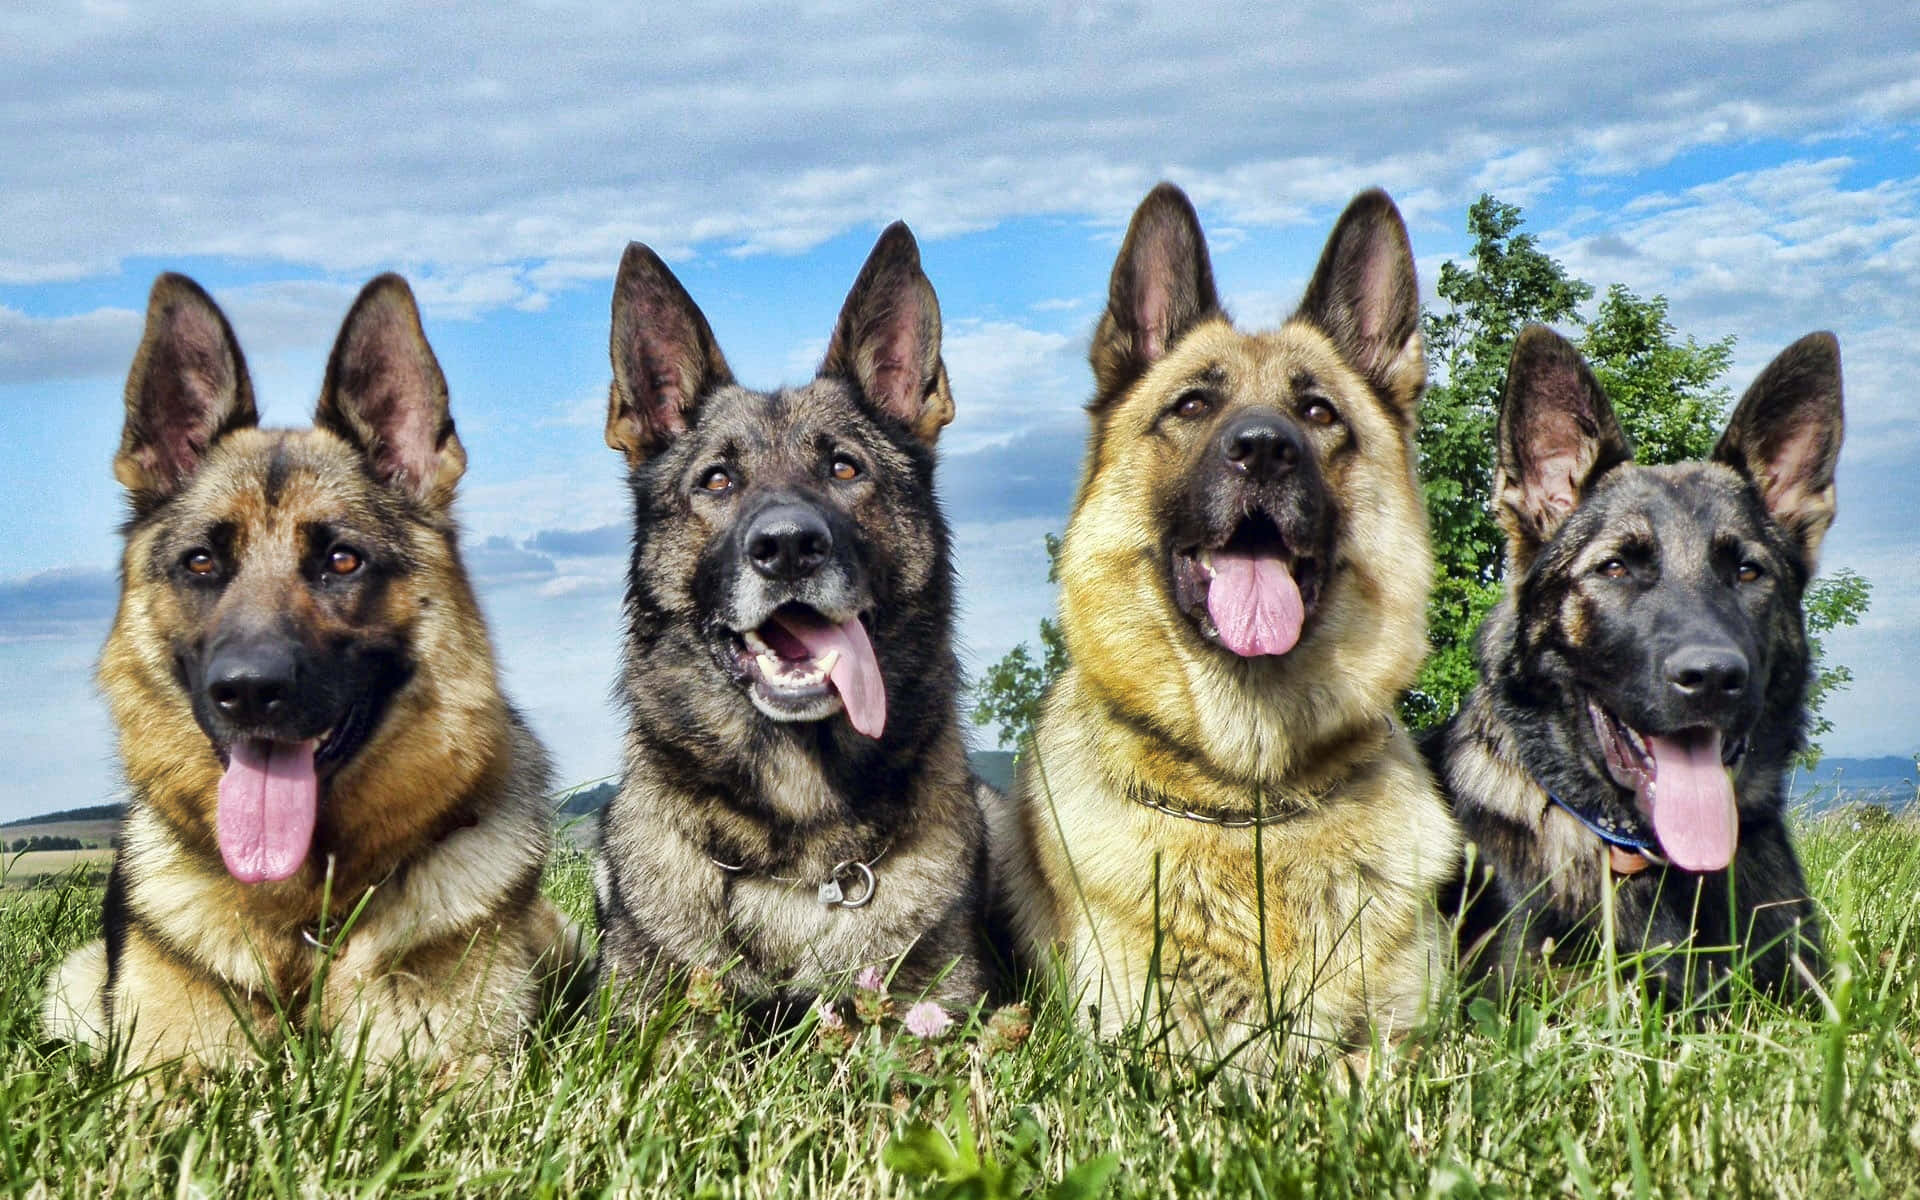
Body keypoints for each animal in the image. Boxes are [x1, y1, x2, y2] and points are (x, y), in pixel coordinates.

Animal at [43, 274, 576, 1075]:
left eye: (341, 561)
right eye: (203, 561)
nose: (249, 691)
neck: (307, 921)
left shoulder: (459, 1071)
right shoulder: (166, 1072)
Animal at [998, 182, 1459, 1059]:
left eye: (1317, 411)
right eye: (1192, 404)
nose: (1264, 449)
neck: (1250, 800)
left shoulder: (1415, 1042)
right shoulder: (1144, 1048)